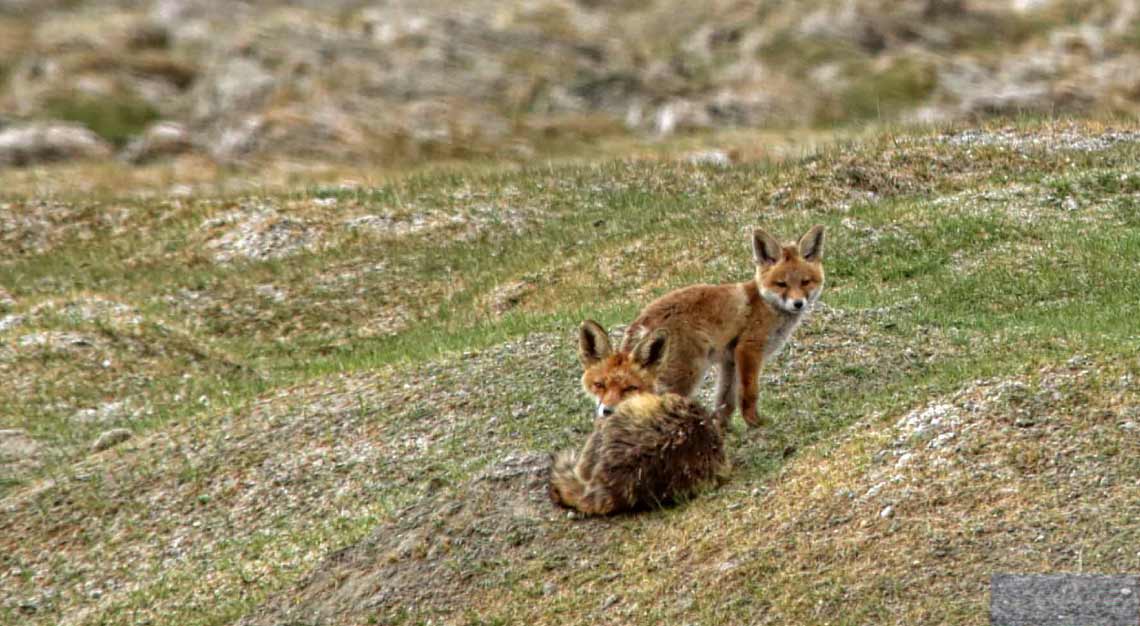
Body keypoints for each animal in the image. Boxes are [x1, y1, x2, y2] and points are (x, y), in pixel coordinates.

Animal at [588, 223, 829, 424]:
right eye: (781, 284)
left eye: (805, 282)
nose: (798, 304)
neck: (764, 304)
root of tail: (642, 319)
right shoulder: (748, 349)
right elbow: (749, 392)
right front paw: (754, 423)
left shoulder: (729, 361)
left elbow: (725, 400)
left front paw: (722, 428)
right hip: (688, 374)